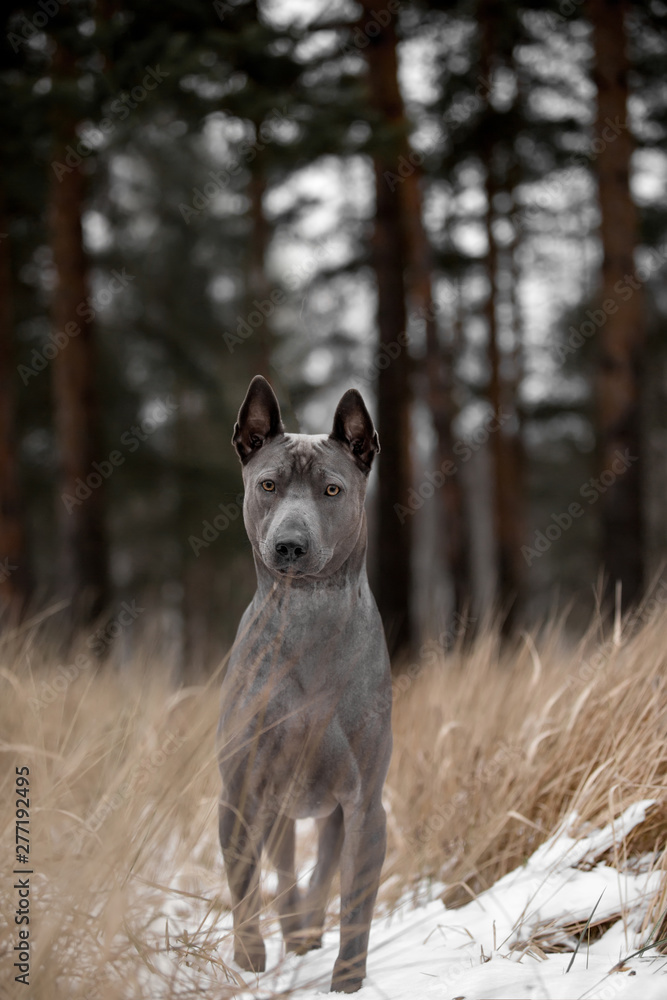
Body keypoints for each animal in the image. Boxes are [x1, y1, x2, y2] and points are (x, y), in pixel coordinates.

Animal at [217, 376, 394, 992]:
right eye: (267, 484)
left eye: (332, 490)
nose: (290, 545)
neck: (307, 615)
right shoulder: (239, 795)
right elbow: (245, 887)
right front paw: (249, 959)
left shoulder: (364, 806)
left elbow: (354, 899)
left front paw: (348, 979)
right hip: (274, 808)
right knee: (285, 872)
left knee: (317, 876)